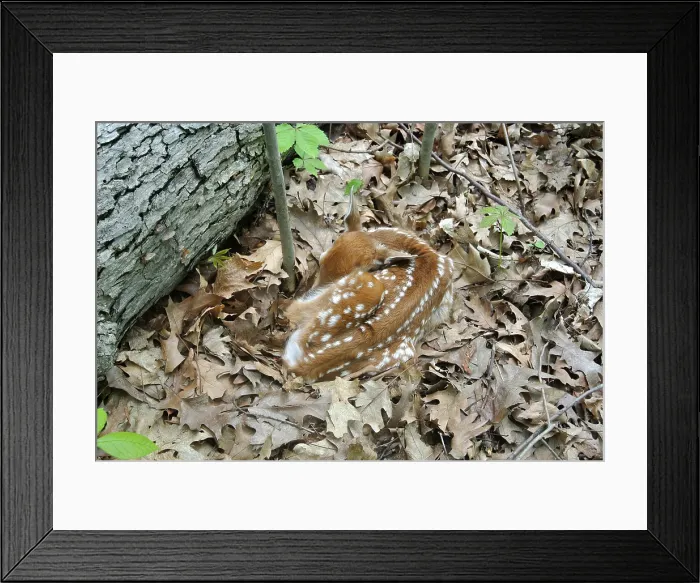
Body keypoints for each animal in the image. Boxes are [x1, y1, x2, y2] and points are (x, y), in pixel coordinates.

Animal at [283, 190, 454, 382]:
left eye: (344, 274)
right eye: (321, 260)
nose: (308, 292)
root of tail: (302, 364)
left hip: (369, 286)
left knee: (291, 312)